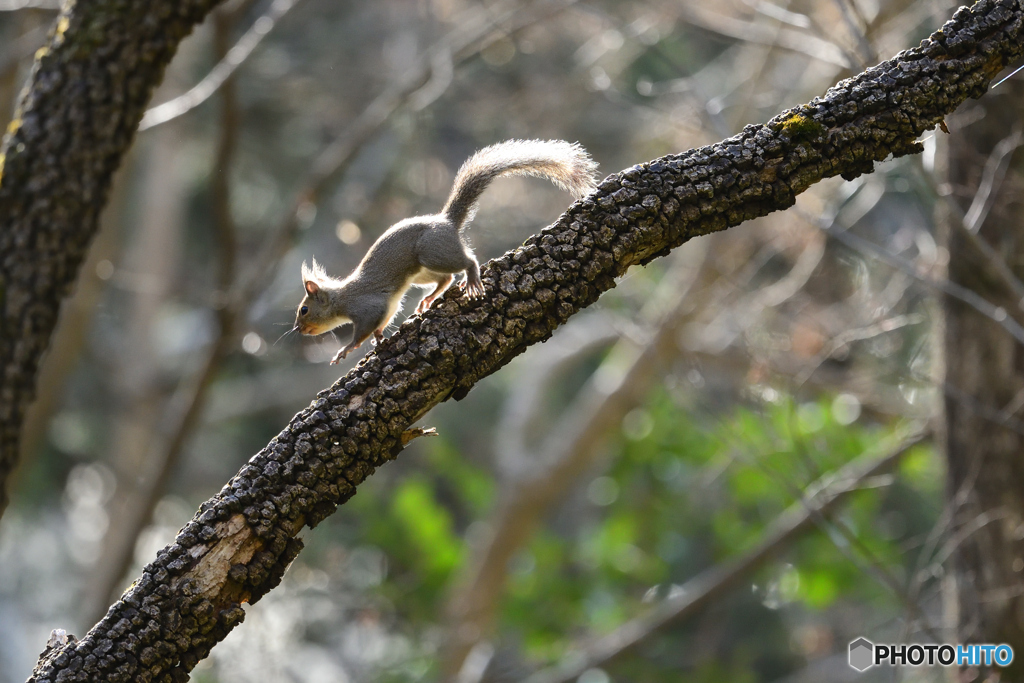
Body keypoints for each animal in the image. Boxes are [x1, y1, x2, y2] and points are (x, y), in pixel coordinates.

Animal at [294, 136, 598, 366]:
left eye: (304, 310)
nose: (298, 330)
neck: (341, 299)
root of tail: (446, 222)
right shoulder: (388, 307)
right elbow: (384, 321)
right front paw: (380, 338)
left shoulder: (367, 306)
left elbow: (363, 331)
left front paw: (345, 350)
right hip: (421, 272)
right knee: (446, 278)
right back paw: (429, 299)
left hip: (432, 253)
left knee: (467, 262)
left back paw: (472, 277)